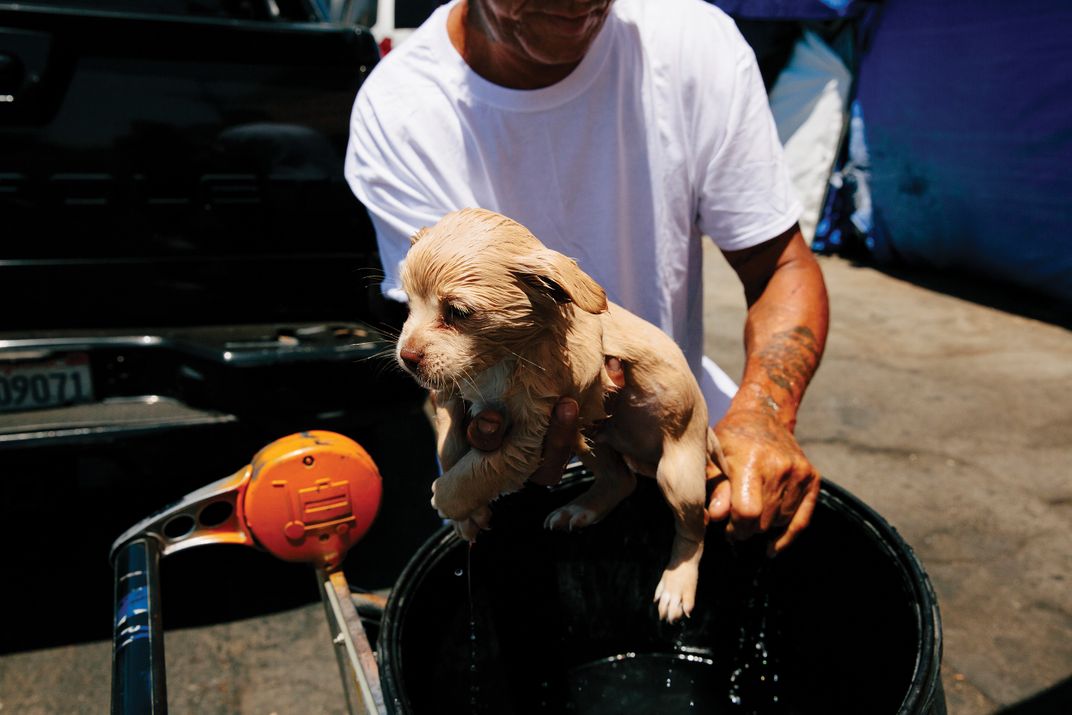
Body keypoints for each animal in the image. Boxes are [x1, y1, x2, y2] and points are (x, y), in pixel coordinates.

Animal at [394, 206, 720, 621]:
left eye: (457, 312)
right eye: (408, 305)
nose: (407, 358)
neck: (502, 358)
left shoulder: (528, 436)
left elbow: (476, 471)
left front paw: (448, 500)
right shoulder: (455, 392)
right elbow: (450, 446)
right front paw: (468, 516)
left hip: (678, 473)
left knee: (696, 525)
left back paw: (678, 584)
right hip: (593, 437)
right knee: (621, 480)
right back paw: (579, 510)